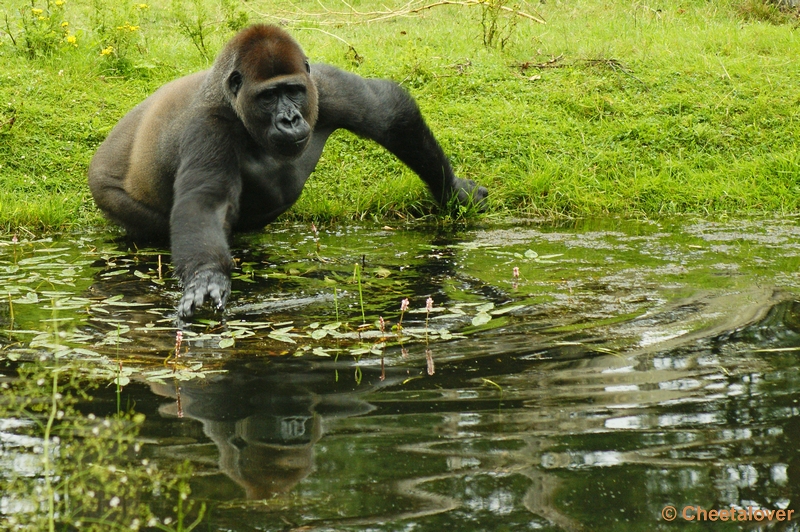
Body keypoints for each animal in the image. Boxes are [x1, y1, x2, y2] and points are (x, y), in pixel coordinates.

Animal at [87, 23, 488, 320]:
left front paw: (454, 191)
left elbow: (388, 113)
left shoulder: (320, 84)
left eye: (292, 91)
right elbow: (205, 202)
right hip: (107, 192)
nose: (290, 119)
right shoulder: (209, 126)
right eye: (268, 97)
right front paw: (206, 278)